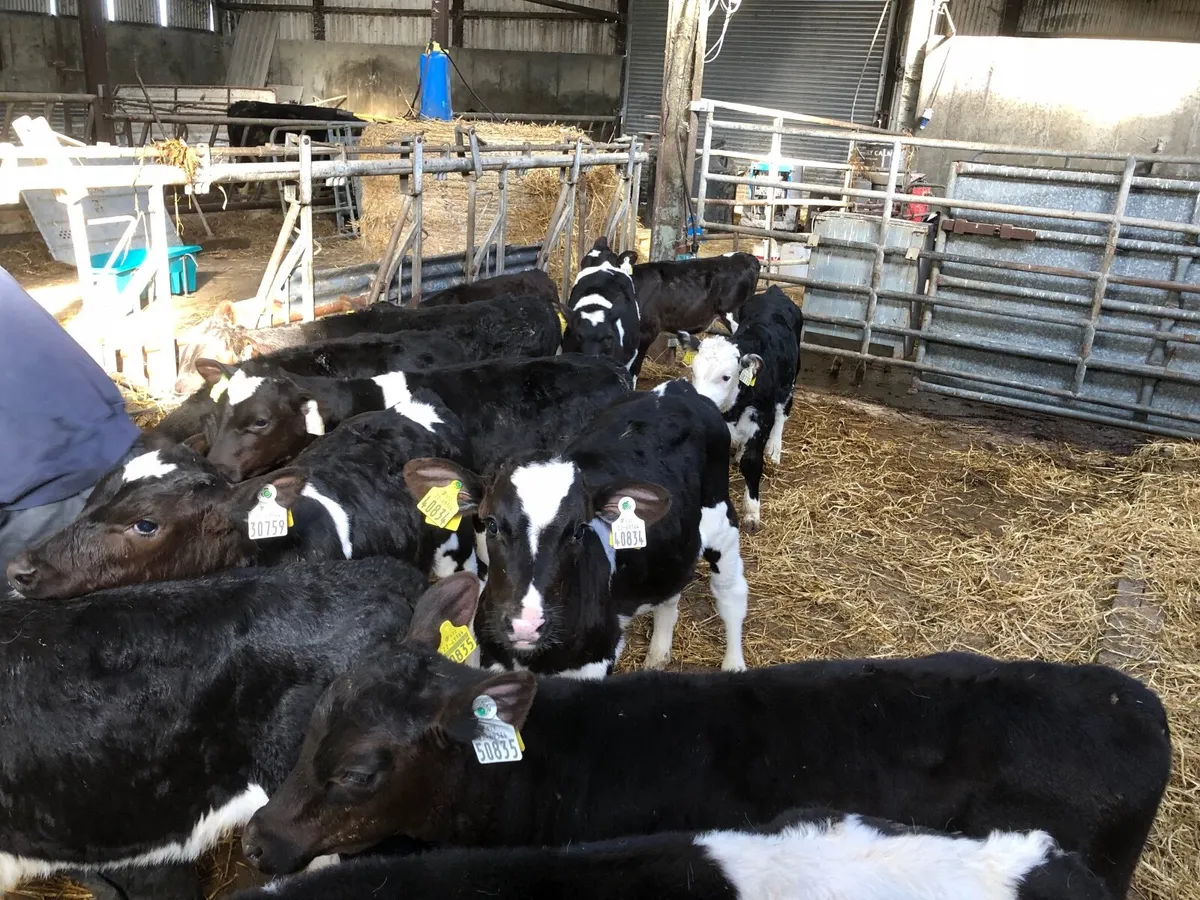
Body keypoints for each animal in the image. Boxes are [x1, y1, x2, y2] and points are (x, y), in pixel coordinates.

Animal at [402, 379, 747, 676]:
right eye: (491, 524)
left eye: (579, 530)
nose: (526, 624)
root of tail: (676, 388)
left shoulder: (597, 661)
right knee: (671, 591)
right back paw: (658, 655)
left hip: (723, 523)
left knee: (731, 594)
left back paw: (734, 665)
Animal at [680, 285, 804, 531]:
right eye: (694, 371)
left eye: (726, 376)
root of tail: (774, 291)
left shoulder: (762, 418)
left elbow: (753, 462)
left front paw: (751, 512)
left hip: (791, 379)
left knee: (782, 413)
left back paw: (774, 450)